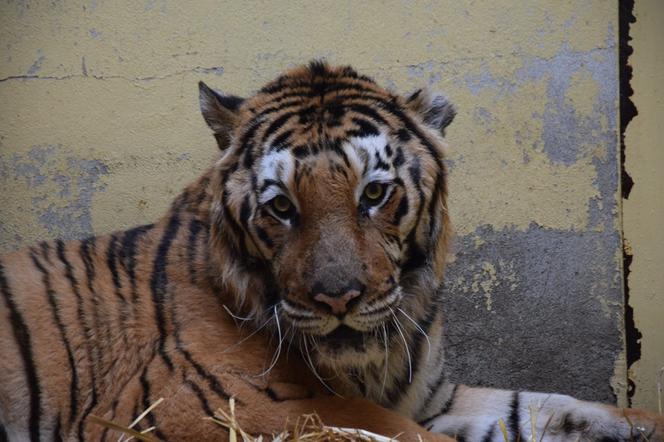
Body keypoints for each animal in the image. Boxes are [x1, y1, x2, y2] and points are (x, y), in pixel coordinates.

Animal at [0, 62, 660, 442]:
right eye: (281, 207)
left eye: (373, 193)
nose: (339, 299)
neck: (366, 366)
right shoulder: (203, 406)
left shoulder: (429, 397)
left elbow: (546, 406)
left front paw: (642, 424)